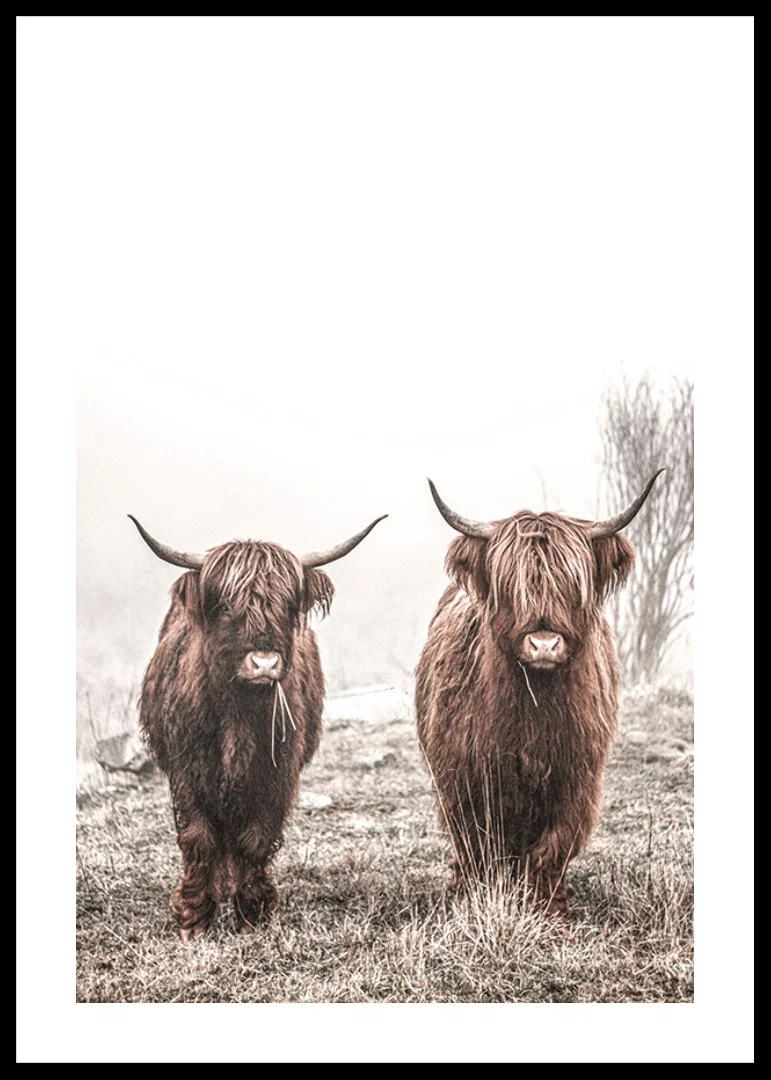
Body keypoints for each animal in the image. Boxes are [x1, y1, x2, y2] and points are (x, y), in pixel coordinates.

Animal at [130, 511, 386, 938]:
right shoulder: (188, 773)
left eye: (286, 605)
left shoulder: (276, 774)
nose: (264, 663)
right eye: (226, 606)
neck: (239, 712)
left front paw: (253, 913)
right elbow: (199, 838)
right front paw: (194, 918)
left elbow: (255, 839)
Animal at [415, 473, 664, 922]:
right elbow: (479, 846)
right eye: (511, 586)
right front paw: (477, 901)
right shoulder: (465, 779)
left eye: (572, 585)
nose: (544, 644)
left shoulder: (576, 779)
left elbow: (553, 849)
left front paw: (550, 914)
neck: (534, 710)